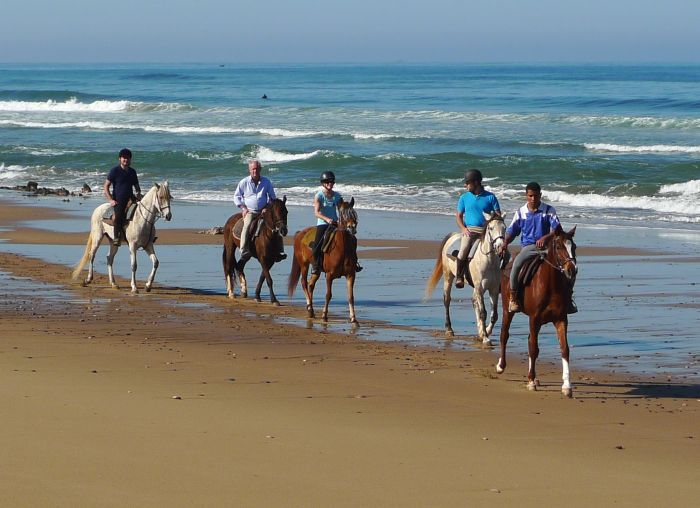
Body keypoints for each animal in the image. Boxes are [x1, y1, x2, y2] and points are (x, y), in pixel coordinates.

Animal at [424, 212, 506, 348]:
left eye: (504, 228)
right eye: (491, 228)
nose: (500, 246)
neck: (488, 260)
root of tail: (453, 236)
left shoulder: (493, 289)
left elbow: (494, 315)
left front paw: (485, 332)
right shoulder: (479, 288)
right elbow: (483, 312)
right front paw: (485, 338)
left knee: (474, 302)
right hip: (448, 276)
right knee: (447, 300)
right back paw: (449, 329)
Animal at [498, 226, 580, 396]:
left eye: (574, 247)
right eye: (559, 246)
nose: (572, 270)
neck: (551, 285)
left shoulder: (561, 319)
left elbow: (564, 349)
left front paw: (567, 386)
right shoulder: (534, 318)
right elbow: (533, 348)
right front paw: (530, 381)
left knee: (529, 339)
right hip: (507, 311)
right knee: (504, 334)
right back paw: (501, 366)